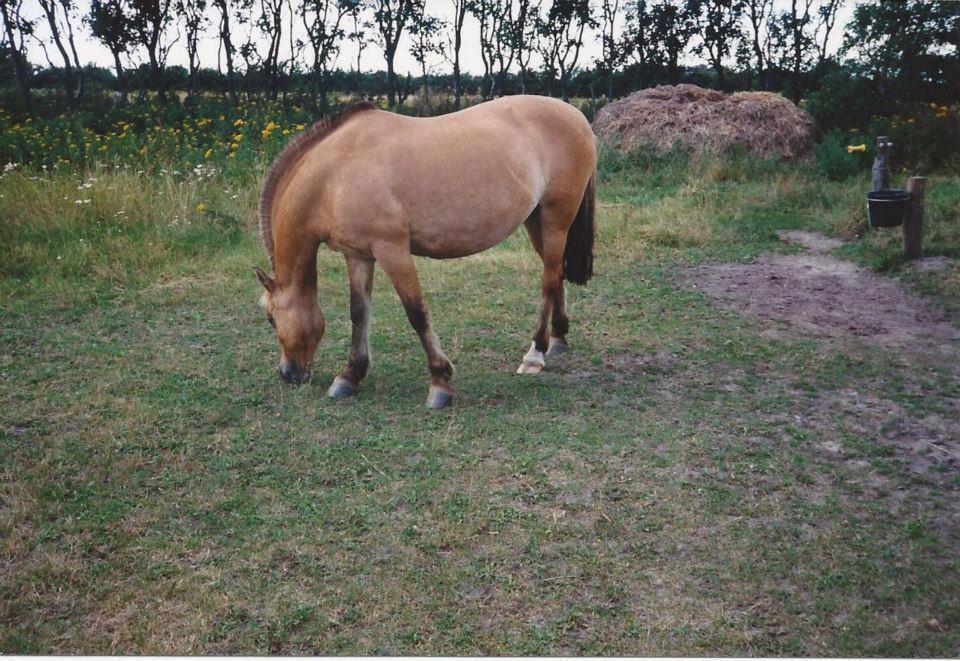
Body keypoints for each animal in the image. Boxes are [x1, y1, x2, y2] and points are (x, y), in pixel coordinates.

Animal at [258, 94, 596, 408]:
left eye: (271, 319)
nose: (287, 373)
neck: (335, 177)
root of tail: (576, 116)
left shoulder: (392, 250)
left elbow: (416, 312)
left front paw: (440, 382)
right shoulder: (358, 255)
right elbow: (359, 312)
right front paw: (350, 376)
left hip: (555, 221)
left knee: (548, 281)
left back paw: (535, 354)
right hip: (536, 222)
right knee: (556, 273)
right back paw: (558, 339)